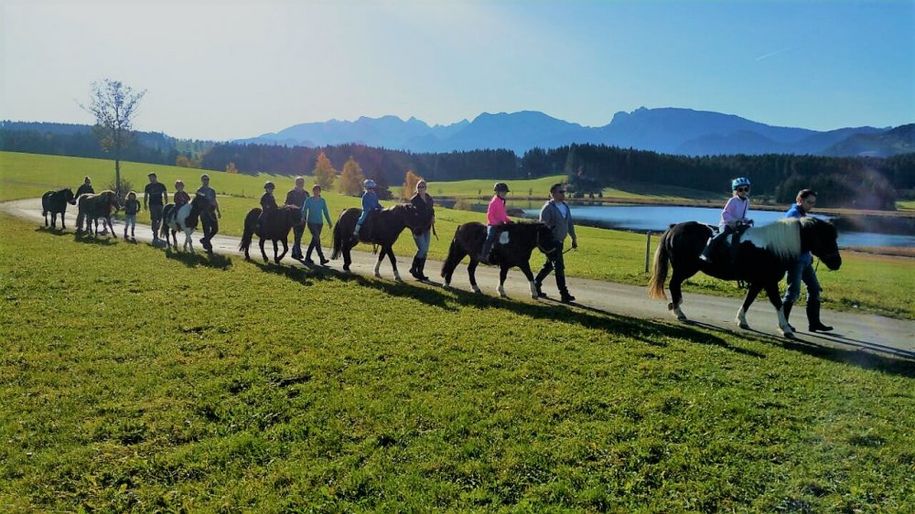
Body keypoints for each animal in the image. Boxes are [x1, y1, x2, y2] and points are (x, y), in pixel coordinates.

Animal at [648, 216, 840, 336]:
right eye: (825, 238)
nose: (837, 262)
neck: (774, 246)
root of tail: (674, 227)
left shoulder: (758, 282)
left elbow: (749, 299)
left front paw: (741, 320)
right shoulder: (769, 282)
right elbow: (777, 304)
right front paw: (785, 328)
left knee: (675, 285)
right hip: (684, 268)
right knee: (674, 285)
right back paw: (678, 311)